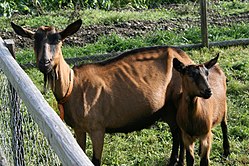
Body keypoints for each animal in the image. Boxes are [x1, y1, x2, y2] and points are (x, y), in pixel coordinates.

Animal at [10, 19, 193, 165]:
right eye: (35, 40)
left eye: (58, 40)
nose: (45, 63)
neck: (72, 86)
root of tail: (184, 55)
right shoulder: (78, 128)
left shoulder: (97, 127)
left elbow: (95, 160)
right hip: (167, 108)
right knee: (176, 132)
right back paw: (174, 161)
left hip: (178, 102)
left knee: (181, 133)